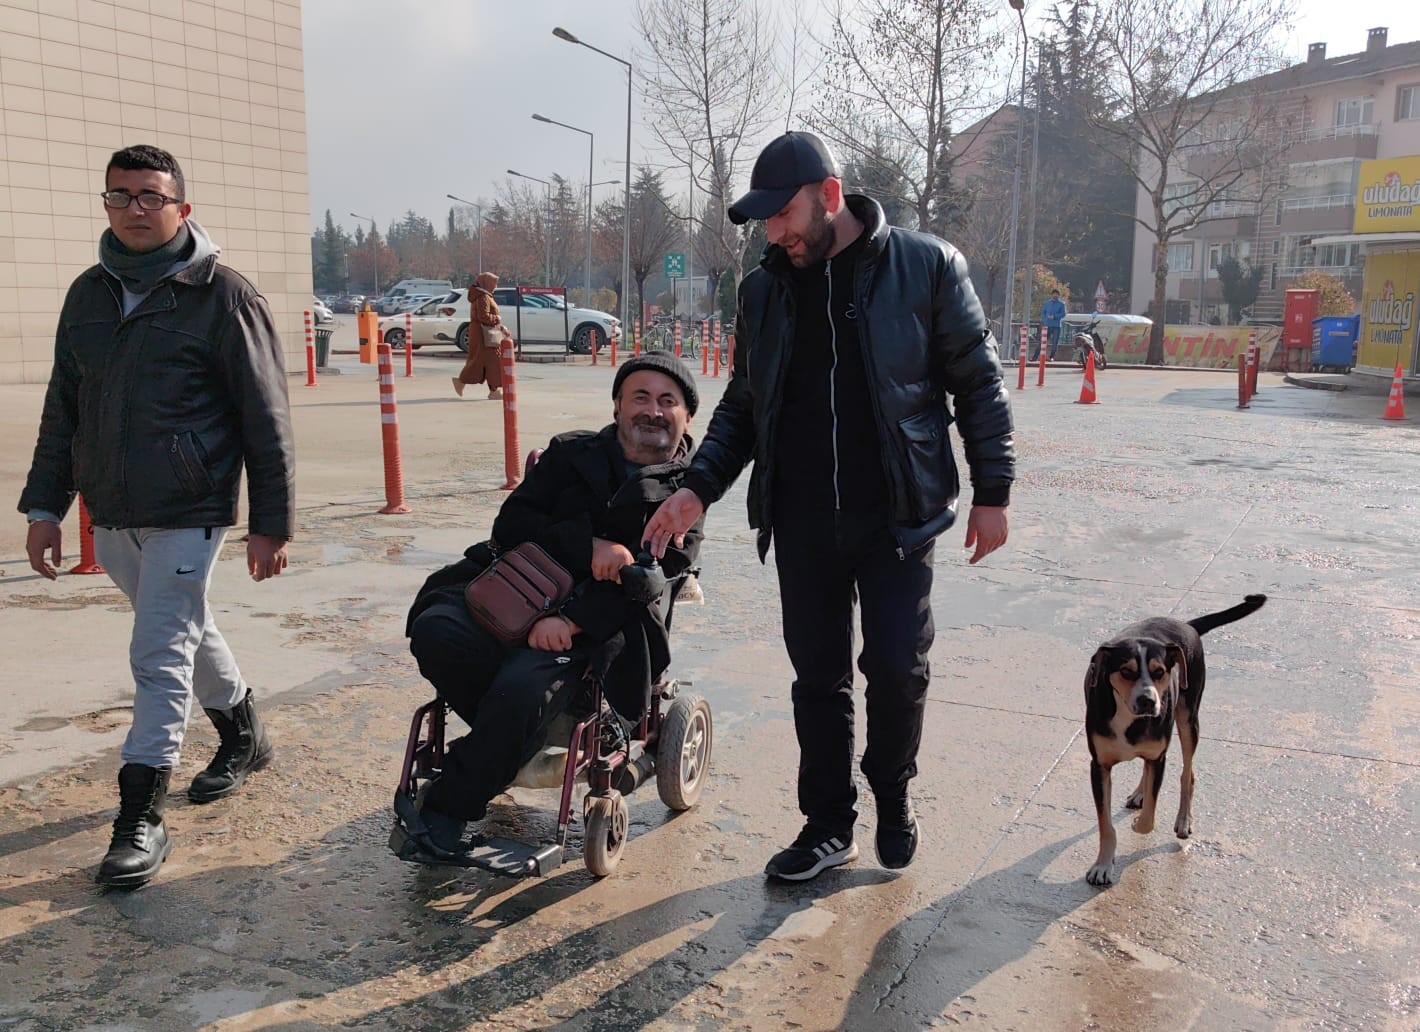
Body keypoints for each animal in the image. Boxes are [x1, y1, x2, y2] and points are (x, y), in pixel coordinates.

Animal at [1079, 596, 1272, 885]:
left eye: (1160, 672)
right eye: (1126, 671)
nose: (1148, 700)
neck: (1129, 718)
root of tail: (1185, 624)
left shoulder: (1160, 756)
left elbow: (1149, 817)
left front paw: (1138, 824)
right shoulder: (1099, 765)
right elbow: (1106, 824)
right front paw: (1102, 865)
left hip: (1188, 718)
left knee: (1187, 774)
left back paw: (1183, 820)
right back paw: (1140, 793)